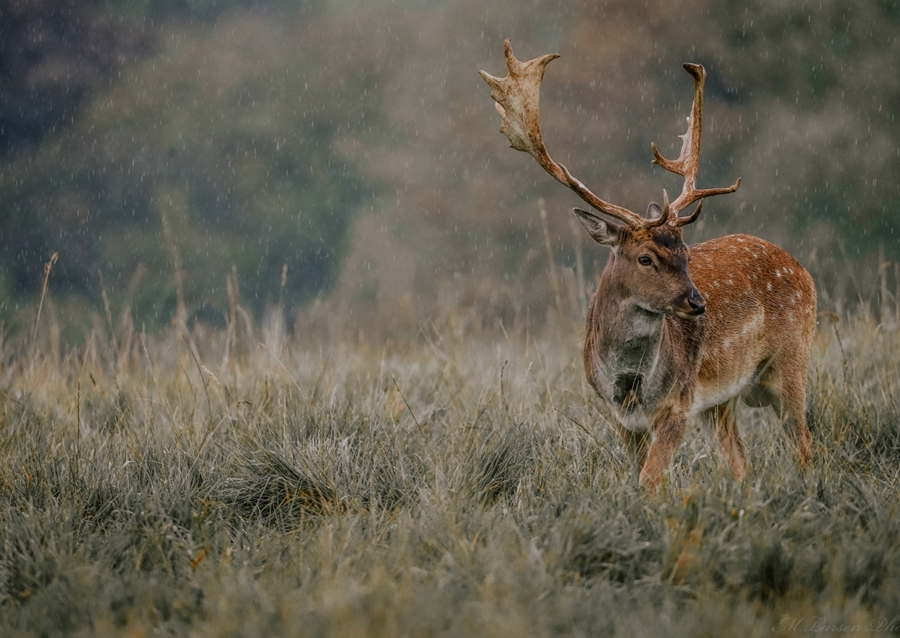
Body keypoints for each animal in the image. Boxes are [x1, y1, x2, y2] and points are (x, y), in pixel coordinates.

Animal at [480, 40, 816, 490]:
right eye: (646, 258)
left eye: (686, 254)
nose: (697, 303)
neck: (630, 385)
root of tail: (803, 270)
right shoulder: (622, 418)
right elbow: (639, 476)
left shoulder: (679, 404)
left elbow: (651, 481)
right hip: (723, 399)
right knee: (741, 461)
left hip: (791, 360)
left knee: (803, 440)